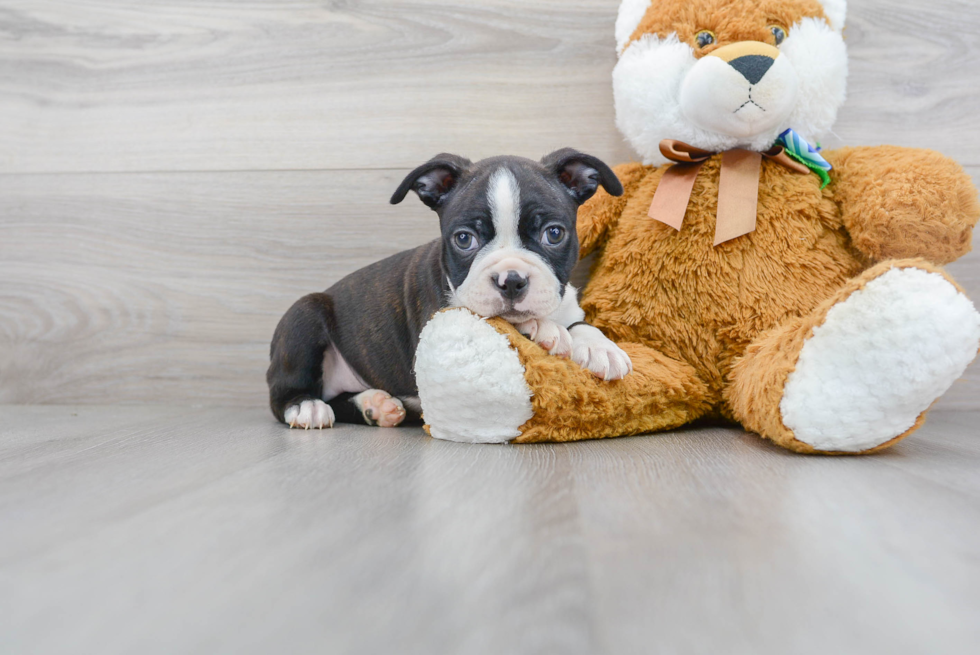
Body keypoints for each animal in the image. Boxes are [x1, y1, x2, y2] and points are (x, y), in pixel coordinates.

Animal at [268, 151, 632, 434]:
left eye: (553, 234)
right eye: (464, 239)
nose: (511, 280)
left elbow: (580, 323)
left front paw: (601, 347)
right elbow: (508, 322)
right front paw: (542, 327)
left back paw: (376, 406)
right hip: (303, 315)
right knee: (283, 394)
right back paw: (307, 407)